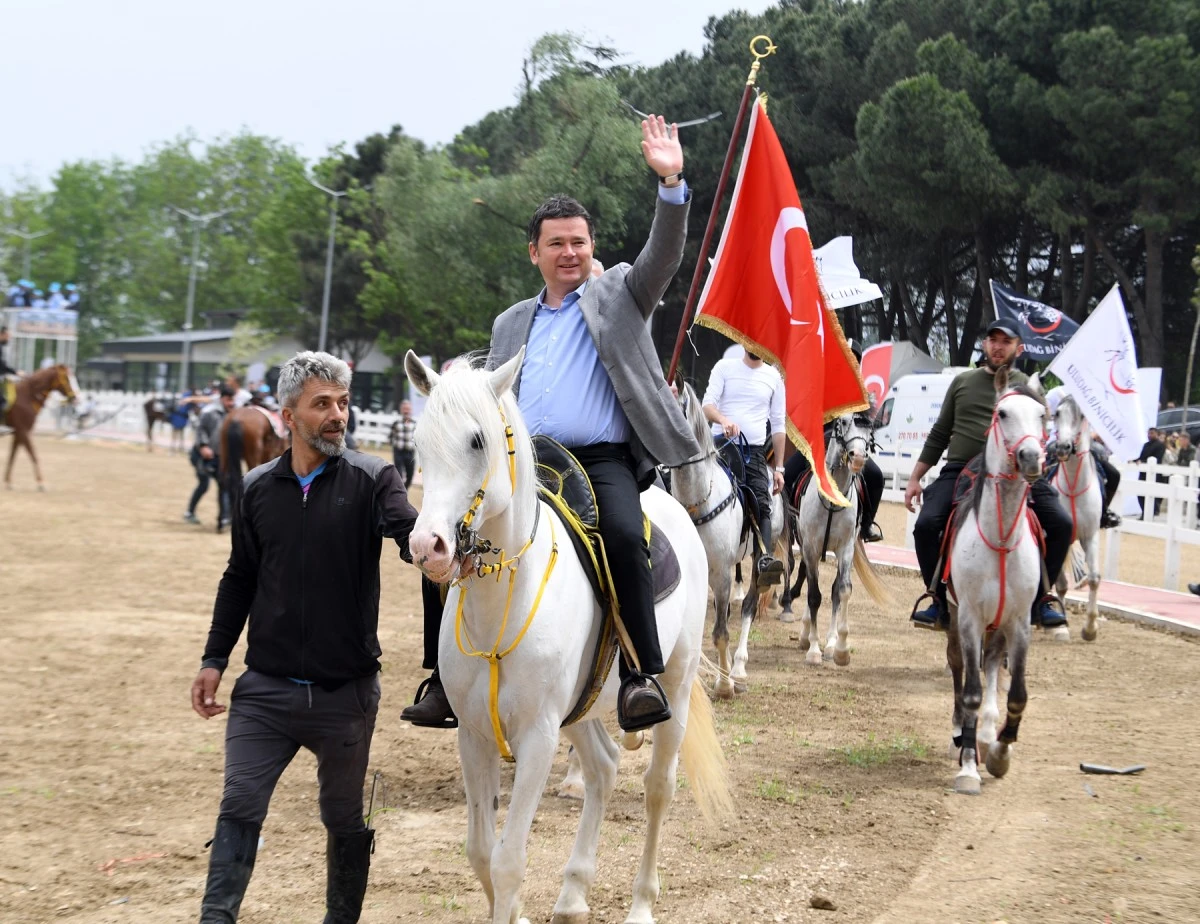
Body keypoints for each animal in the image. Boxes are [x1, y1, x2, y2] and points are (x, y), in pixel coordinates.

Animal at [405, 348, 729, 921]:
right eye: (419, 443)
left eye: (478, 441)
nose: (428, 547)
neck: (502, 609)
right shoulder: (474, 734)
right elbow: (481, 851)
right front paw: (518, 911)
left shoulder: (537, 737)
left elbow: (508, 860)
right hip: (581, 707)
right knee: (603, 768)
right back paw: (574, 894)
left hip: (676, 685)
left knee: (657, 788)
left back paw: (641, 903)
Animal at [676, 379, 777, 691]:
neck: (699, 504)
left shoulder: (720, 573)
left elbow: (720, 631)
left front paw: (724, 685)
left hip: (757, 560)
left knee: (748, 606)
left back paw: (739, 667)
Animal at [787, 412, 892, 667]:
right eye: (842, 423)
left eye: (870, 428)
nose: (858, 457)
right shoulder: (811, 548)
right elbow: (814, 595)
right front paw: (813, 650)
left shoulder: (845, 548)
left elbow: (842, 590)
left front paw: (840, 649)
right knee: (808, 580)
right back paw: (805, 635)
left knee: (833, 589)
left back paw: (830, 642)